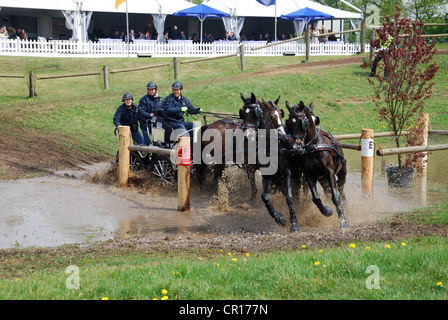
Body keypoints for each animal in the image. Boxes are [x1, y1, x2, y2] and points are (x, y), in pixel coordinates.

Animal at [286, 101, 348, 229]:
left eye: (301, 122)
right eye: (289, 123)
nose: (296, 145)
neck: (313, 146)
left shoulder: (329, 172)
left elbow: (336, 197)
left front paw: (343, 221)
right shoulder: (309, 175)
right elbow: (316, 198)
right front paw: (327, 211)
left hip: (341, 171)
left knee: (340, 187)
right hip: (322, 179)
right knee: (328, 190)